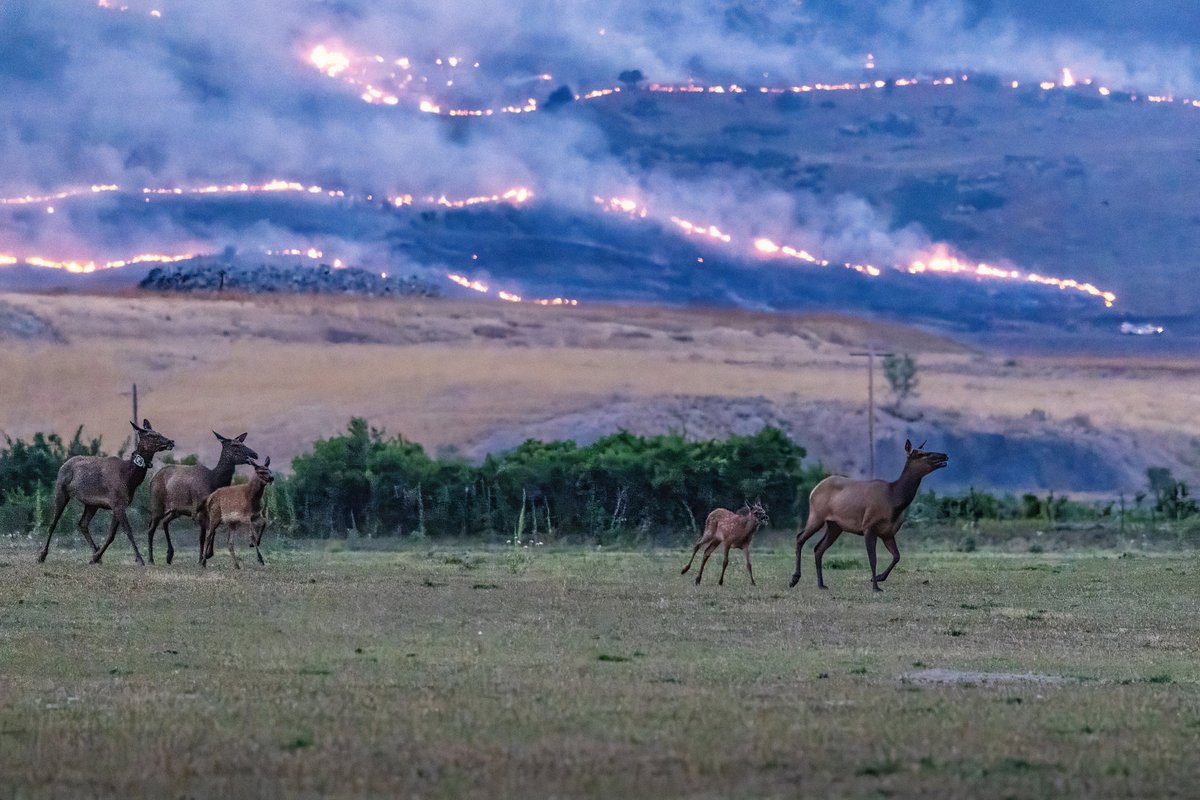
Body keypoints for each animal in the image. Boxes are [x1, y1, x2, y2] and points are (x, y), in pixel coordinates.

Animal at [37, 419, 175, 565]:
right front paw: (140, 559)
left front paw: (95, 557)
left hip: (91, 504)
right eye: (151, 435)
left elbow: (111, 535)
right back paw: (42, 555)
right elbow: (128, 530)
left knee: (82, 524)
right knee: (53, 523)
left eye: (159, 432)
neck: (129, 478)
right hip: (61, 491)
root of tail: (63, 465)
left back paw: (95, 554)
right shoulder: (117, 502)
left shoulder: (119, 504)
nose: (170, 441)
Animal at [144, 431, 257, 565]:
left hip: (175, 510)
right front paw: (201, 560)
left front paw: (207, 555)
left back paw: (169, 555)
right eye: (235, 445)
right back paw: (150, 559)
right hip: (157, 505)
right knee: (151, 529)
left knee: (164, 522)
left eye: (242, 443)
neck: (214, 481)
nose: (255, 454)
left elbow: (212, 532)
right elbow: (202, 537)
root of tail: (152, 480)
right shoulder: (199, 511)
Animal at [789, 439, 948, 593]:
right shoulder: (868, 527)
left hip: (835, 526)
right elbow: (873, 559)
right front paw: (876, 587)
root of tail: (813, 490)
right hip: (817, 515)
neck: (895, 500)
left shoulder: (888, 533)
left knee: (818, 548)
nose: (944, 455)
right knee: (800, 537)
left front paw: (878, 578)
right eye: (921, 454)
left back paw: (821, 584)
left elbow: (897, 556)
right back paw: (794, 579)